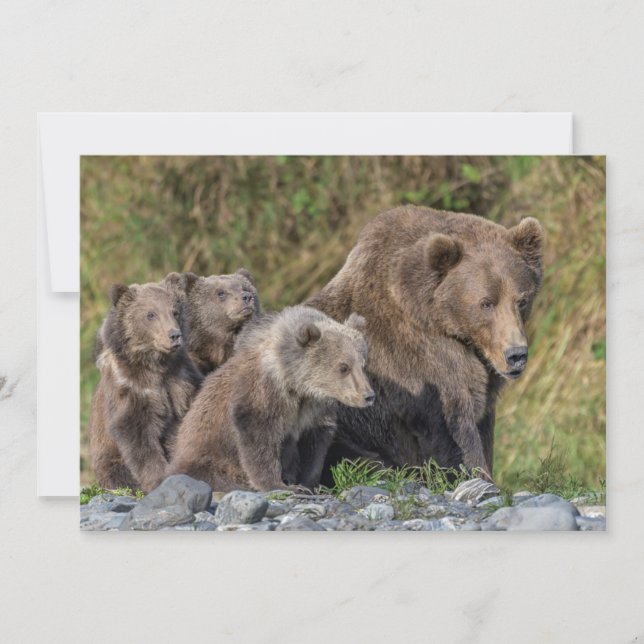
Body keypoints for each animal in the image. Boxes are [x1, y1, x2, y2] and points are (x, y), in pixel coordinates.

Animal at [88, 281, 203, 493]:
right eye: (151, 314)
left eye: (175, 311)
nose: (174, 335)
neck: (155, 364)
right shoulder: (131, 389)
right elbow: (137, 435)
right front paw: (158, 478)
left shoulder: (181, 379)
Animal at [166, 306, 375, 492]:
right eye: (344, 367)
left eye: (363, 364)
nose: (368, 396)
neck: (296, 383)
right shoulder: (264, 392)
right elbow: (259, 436)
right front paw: (279, 484)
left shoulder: (314, 409)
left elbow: (314, 445)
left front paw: (308, 483)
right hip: (207, 457)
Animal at [306, 205, 544, 482]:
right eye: (486, 303)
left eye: (522, 300)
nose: (516, 354)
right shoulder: (420, 361)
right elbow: (454, 428)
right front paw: (478, 475)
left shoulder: (484, 373)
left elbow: (484, 422)